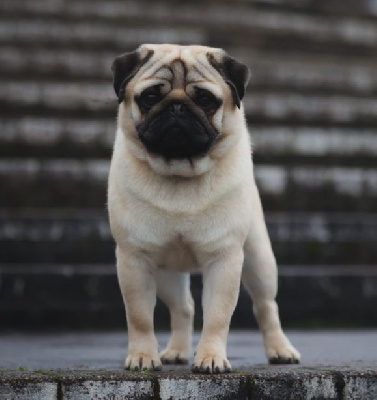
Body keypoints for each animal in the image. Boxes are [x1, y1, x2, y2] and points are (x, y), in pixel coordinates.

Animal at [106, 43, 300, 372]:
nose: (177, 108)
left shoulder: (224, 258)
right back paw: (176, 351)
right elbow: (140, 316)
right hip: (165, 273)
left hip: (259, 259)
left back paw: (280, 349)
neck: (179, 173)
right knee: (183, 307)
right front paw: (143, 356)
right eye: (150, 97)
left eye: (206, 100)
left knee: (265, 305)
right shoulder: (134, 260)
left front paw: (210, 357)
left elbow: (218, 317)